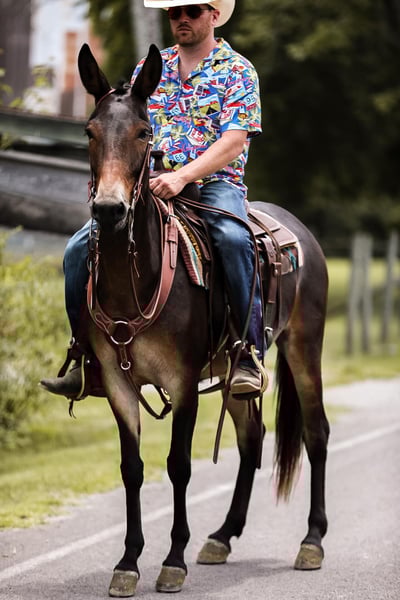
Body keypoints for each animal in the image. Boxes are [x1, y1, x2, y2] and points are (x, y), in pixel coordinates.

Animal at [77, 43, 330, 597]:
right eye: (89, 131)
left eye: (144, 132)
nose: (109, 210)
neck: (136, 281)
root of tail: (299, 231)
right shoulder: (119, 385)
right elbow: (132, 468)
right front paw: (128, 562)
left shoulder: (184, 381)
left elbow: (178, 466)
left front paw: (172, 560)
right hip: (233, 374)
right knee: (252, 438)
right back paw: (223, 535)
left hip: (304, 348)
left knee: (316, 433)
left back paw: (312, 541)